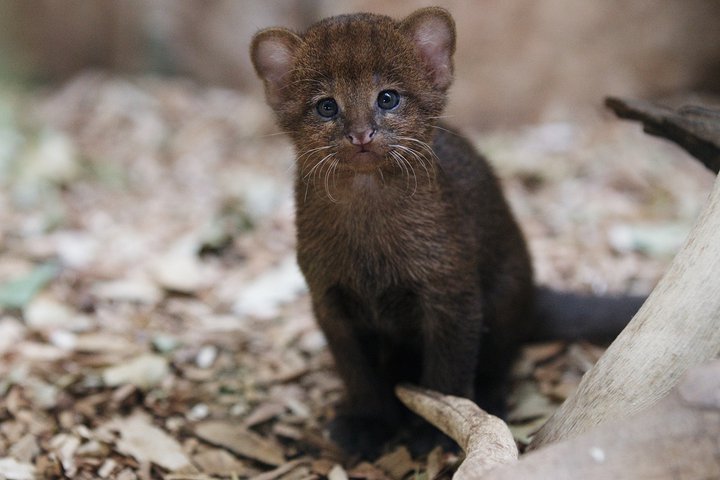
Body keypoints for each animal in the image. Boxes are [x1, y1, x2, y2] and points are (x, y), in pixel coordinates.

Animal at [250, 8, 640, 458]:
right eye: (326, 106)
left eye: (388, 97)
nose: (361, 134)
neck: (370, 235)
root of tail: (531, 294)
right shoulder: (331, 303)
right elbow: (358, 374)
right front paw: (365, 426)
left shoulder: (451, 295)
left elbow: (446, 375)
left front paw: (434, 434)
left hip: (502, 299)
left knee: (498, 361)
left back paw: (488, 400)